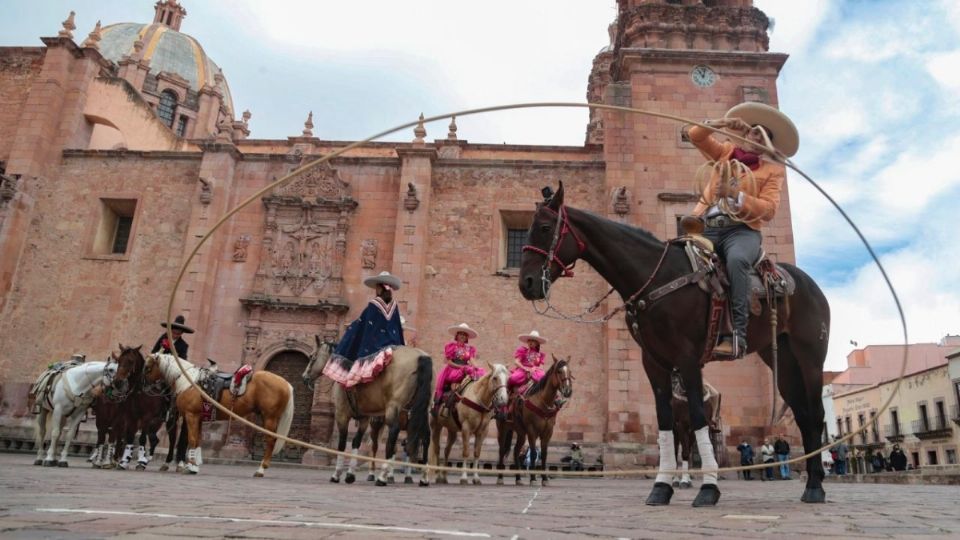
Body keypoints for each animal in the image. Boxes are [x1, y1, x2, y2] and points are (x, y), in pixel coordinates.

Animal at [142, 352, 292, 474]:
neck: (189, 382)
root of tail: (285, 383)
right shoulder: (199, 417)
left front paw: (191, 466)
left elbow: (192, 439)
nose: (144, 386)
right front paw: (194, 465)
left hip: (270, 417)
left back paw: (261, 469)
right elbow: (198, 440)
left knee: (271, 440)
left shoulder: (191, 415)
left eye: (147, 367)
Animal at [304, 340, 432, 488]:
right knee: (425, 437)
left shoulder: (341, 415)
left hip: (392, 410)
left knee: (391, 436)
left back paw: (382, 477)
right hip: (421, 412)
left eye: (312, 357)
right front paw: (350, 475)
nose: (304, 377)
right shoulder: (364, 418)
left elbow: (342, 444)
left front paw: (336, 474)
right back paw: (423, 478)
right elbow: (356, 442)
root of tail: (421, 356)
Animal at [516, 182, 832, 506]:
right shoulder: (653, 362)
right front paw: (661, 487)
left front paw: (708, 488)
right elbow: (664, 423)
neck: (657, 278)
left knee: (816, 414)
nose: (527, 282)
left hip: (810, 358)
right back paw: (811, 484)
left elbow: (697, 420)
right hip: (781, 360)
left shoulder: (689, 359)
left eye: (544, 227)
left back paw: (816, 487)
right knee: (803, 415)